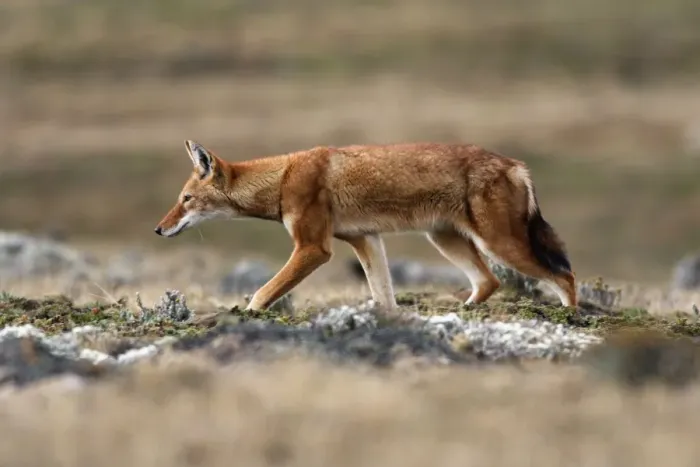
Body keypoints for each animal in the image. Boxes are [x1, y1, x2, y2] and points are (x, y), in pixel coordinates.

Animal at [155, 140, 577, 312]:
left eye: (185, 199)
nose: (158, 230)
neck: (283, 178)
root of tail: (516, 164)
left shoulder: (314, 249)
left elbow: (262, 293)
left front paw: (245, 315)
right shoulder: (366, 241)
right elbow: (383, 296)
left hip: (499, 245)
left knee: (565, 277)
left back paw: (573, 316)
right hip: (446, 240)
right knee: (489, 282)